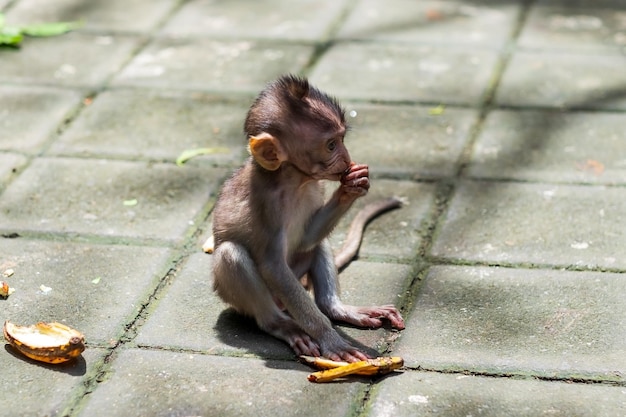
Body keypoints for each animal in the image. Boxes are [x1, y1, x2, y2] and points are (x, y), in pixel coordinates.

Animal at [211, 75, 404, 360]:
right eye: (332, 145)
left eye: (342, 138)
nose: (347, 159)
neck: (293, 181)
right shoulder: (266, 204)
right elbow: (272, 265)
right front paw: (330, 339)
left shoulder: (315, 188)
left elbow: (306, 239)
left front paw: (350, 188)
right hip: (249, 295)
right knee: (230, 254)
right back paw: (282, 325)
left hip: (298, 272)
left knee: (317, 245)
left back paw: (338, 309)